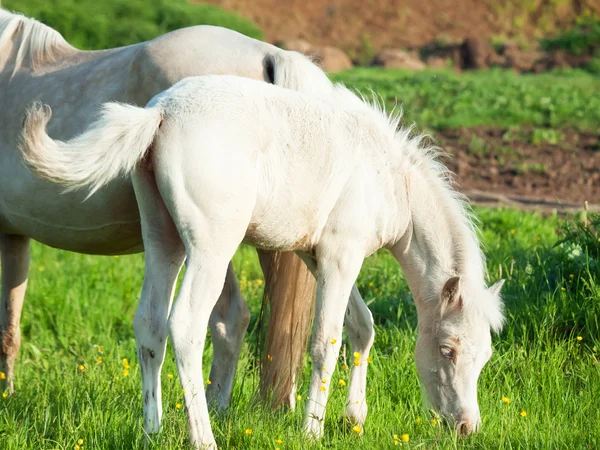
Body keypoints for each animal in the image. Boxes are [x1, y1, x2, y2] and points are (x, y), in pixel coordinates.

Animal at [21, 76, 504, 446]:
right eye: (447, 349)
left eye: (485, 357)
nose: (467, 426)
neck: (390, 177)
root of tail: (161, 114)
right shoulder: (341, 256)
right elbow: (326, 341)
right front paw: (312, 430)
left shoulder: (317, 256)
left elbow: (362, 326)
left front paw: (355, 416)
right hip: (211, 248)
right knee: (186, 326)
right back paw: (204, 437)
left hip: (163, 240)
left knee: (150, 326)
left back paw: (152, 433)